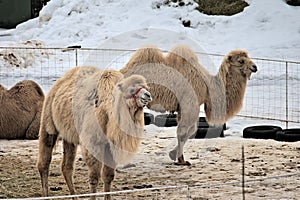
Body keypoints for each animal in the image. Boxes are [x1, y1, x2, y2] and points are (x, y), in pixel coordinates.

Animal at [37, 66, 152, 199]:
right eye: (132, 89)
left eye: (146, 87)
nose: (148, 95)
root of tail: (58, 83)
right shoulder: (93, 143)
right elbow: (94, 176)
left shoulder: (109, 145)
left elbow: (108, 176)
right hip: (48, 118)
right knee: (44, 160)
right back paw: (46, 195)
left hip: (69, 134)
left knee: (66, 167)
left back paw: (74, 196)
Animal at [120, 45, 256, 166]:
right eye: (241, 61)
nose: (255, 67)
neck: (207, 86)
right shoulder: (189, 104)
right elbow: (183, 132)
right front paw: (181, 160)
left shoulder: (186, 107)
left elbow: (191, 131)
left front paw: (173, 154)